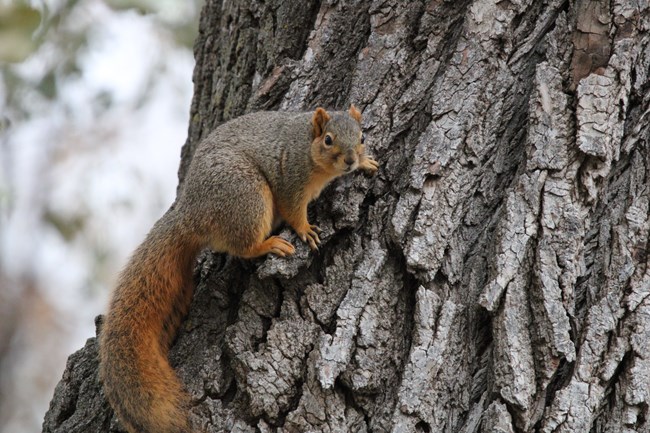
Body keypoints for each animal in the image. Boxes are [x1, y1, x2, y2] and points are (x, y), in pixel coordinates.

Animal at [98, 105, 378, 433]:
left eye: (362, 137)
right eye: (329, 140)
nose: (350, 160)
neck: (308, 149)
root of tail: (189, 218)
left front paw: (367, 162)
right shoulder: (290, 177)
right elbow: (293, 210)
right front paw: (305, 229)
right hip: (247, 197)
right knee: (244, 245)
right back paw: (268, 244)